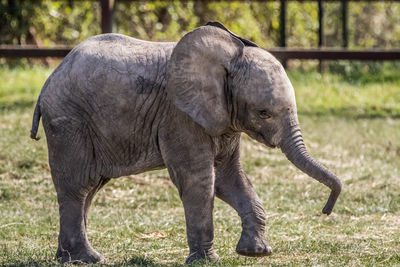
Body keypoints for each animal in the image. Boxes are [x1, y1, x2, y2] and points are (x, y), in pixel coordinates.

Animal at [32, 22, 340, 264]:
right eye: (264, 113)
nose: (325, 211)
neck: (229, 57)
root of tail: (51, 77)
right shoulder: (179, 116)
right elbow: (199, 179)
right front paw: (206, 261)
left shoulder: (222, 118)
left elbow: (229, 178)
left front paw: (256, 252)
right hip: (68, 122)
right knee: (78, 186)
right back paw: (88, 259)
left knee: (91, 187)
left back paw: (67, 258)